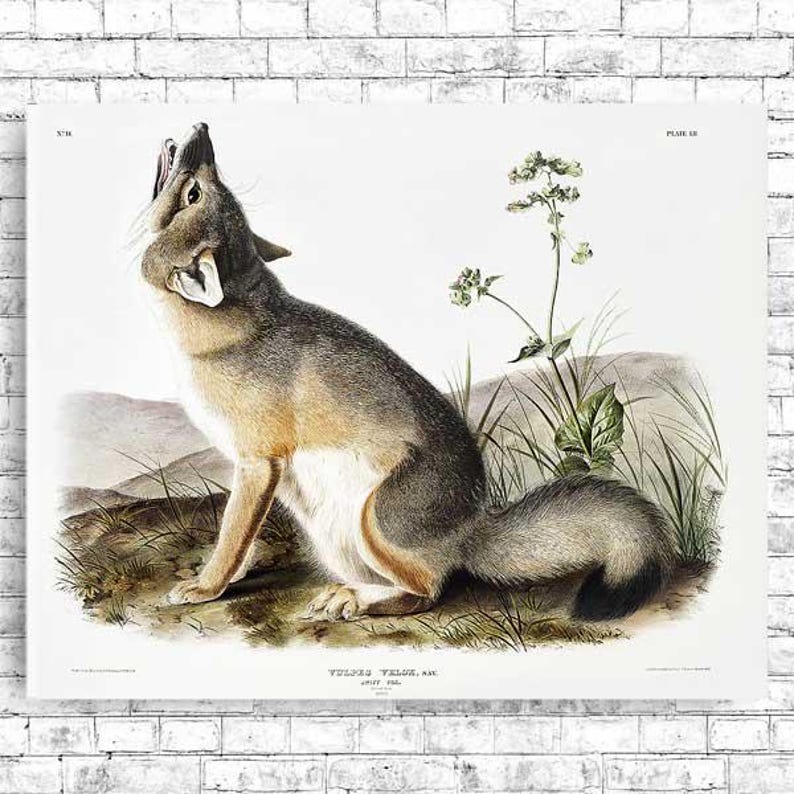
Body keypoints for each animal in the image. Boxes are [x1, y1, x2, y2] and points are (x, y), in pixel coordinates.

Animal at [141, 122, 676, 622]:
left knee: (427, 590)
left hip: (374, 520)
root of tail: (470, 530)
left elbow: (232, 535)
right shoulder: (258, 471)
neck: (236, 322)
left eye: (196, 192)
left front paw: (206, 586)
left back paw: (353, 599)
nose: (204, 129)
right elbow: (243, 540)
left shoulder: (256, 463)